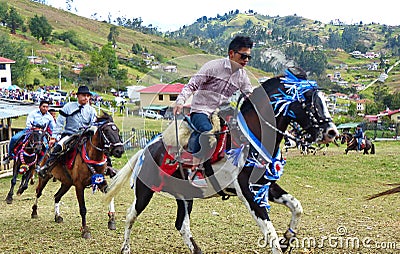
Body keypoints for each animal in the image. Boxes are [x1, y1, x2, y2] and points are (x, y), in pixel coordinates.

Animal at [104, 68, 340, 253]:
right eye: (308, 100)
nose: (332, 132)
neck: (250, 137)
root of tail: (147, 149)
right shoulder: (248, 192)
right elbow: (269, 233)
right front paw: (280, 240)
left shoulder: (265, 186)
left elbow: (296, 206)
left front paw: (288, 237)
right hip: (145, 191)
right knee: (130, 215)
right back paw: (125, 248)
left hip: (184, 196)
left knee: (182, 225)